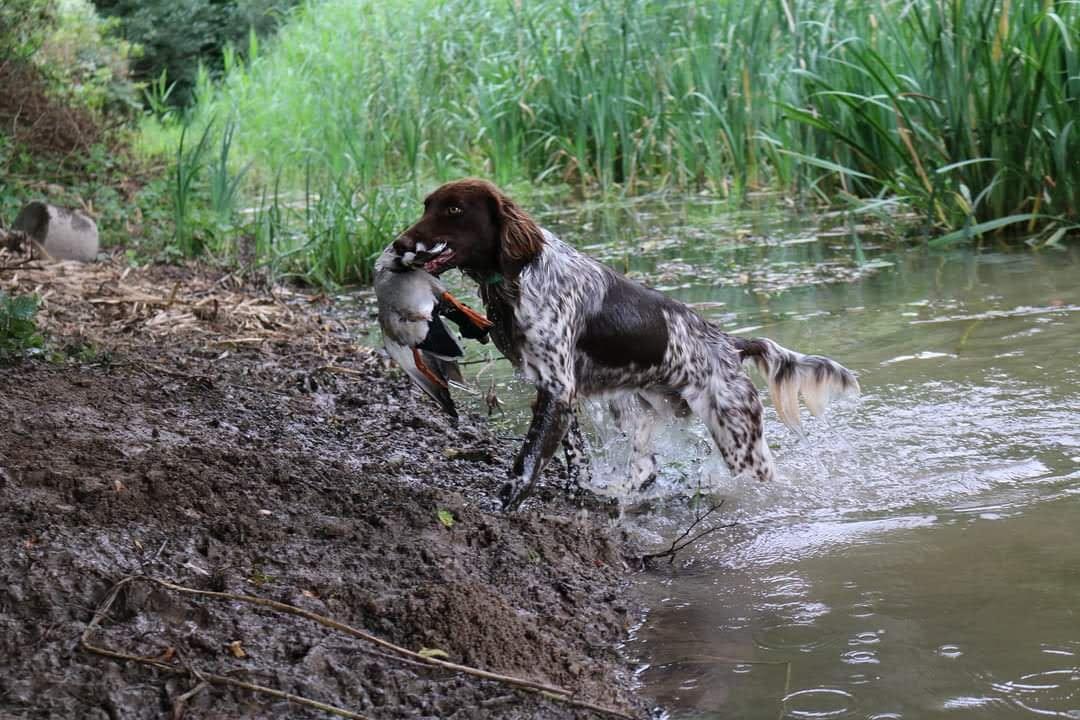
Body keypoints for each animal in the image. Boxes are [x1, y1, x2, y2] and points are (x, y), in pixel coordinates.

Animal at [393, 178, 855, 509]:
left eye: (454, 209)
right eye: (427, 205)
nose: (398, 246)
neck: (520, 273)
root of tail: (731, 344)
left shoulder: (557, 389)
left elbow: (525, 464)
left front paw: (502, 508)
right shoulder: (557, 390)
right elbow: (572, 457)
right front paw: (578, 494)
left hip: (738, 438)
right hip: (637, 407)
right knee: (647, 468)